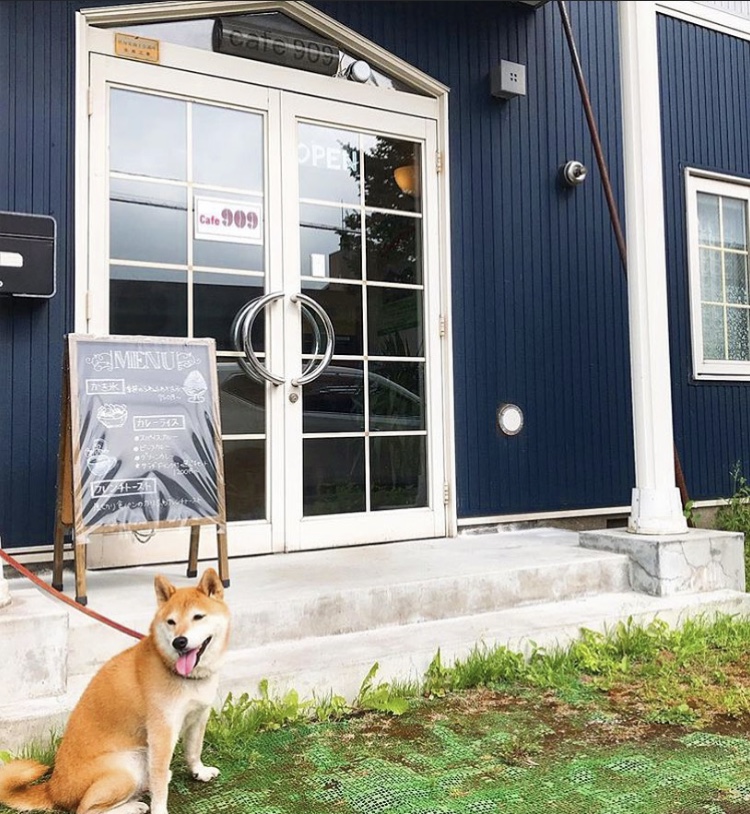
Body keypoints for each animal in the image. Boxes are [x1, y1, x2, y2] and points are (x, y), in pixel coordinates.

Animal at [0, 568, 231, 814]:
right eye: (171, 621)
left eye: (198, 617)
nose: (179, 641)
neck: (183, 675)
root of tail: (53, 789)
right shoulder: (162, 733)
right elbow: (159, 783)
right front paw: (160, 808)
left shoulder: (198, 716)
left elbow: (194, 750)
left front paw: (199, 771)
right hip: (128, 767)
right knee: (86, 809)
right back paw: (133, 806)